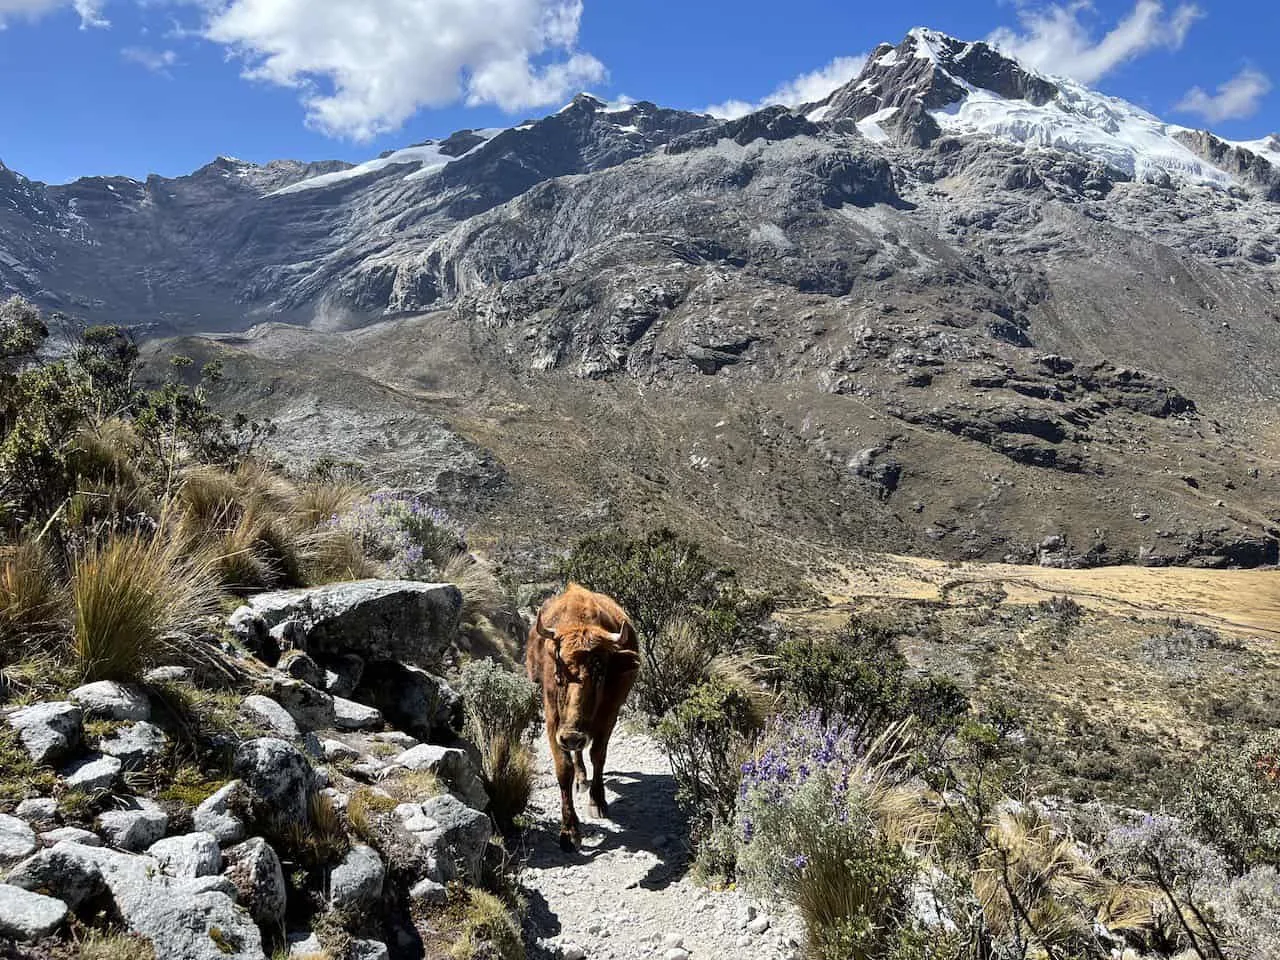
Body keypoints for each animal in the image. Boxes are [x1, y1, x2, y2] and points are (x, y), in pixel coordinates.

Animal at [524, 583, 640, 855]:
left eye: (599, 671)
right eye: (559, 670)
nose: (572, 736)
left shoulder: (610, 714)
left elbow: (598, 754)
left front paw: (597, 801)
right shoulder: (553, 720)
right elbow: (563, 768)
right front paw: (569, 831)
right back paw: (579, 776)